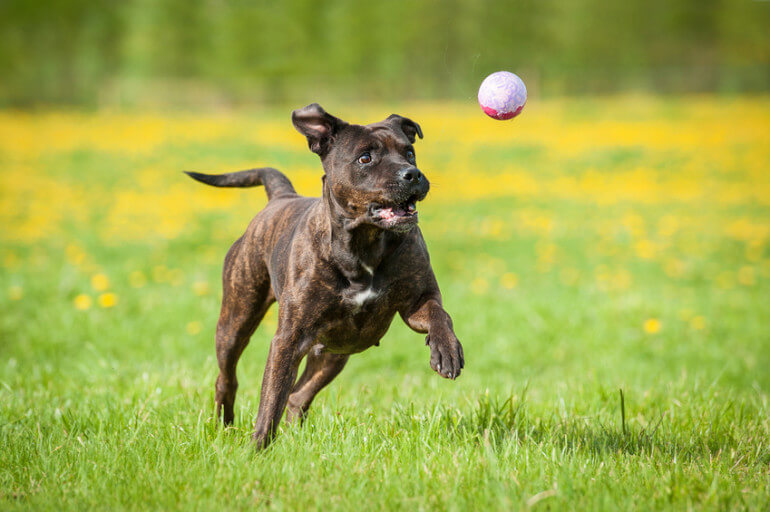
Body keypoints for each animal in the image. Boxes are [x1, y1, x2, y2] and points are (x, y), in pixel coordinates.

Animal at [186, 104, 462, 448]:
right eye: (365, 158)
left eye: (409, 153)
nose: (412, 174)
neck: (363, 244)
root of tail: (281, 197)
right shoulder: (288, 339)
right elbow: (270, 399)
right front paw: (257, 448)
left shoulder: (418, 301)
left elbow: (440, 315)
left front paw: (447, 350)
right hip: (236, 320)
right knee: (229, 378)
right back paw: (225, 424)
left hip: (335, 352)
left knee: (297, 395)